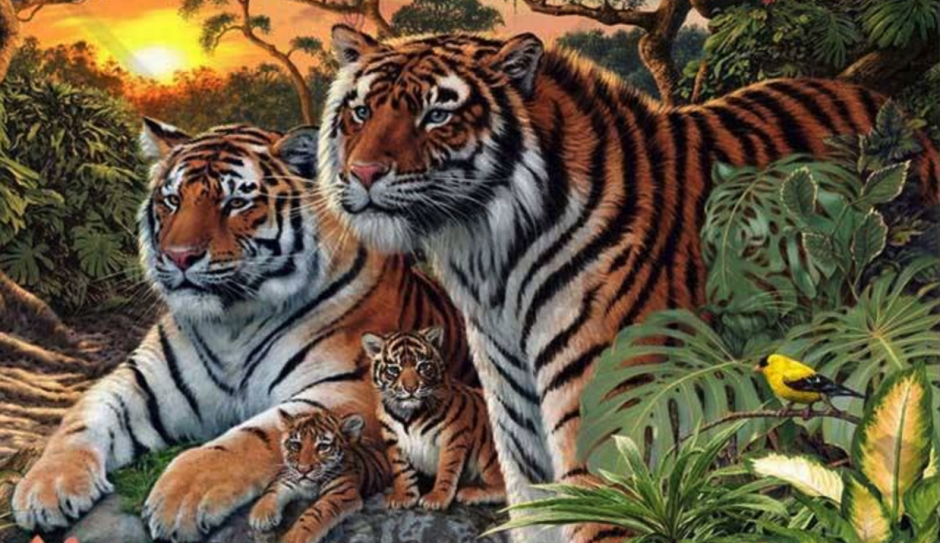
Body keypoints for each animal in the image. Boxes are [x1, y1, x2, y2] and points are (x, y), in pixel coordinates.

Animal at [248, 407, 390, 543]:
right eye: (295, 445)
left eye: (323, 447)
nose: (303, 470)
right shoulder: (289, 477)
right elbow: (272, 491)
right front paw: (261, 515)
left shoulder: (340, 493)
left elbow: (315, 513)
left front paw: (295, 537)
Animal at [361, 327, 505, 511]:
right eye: (394, 369)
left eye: (422, 366)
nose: (411, 388)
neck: (408, 415)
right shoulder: (393, 439)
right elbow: (401, 470)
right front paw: (404, 496)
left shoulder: (453, 437)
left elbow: (447, 469)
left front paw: (437, 498)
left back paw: (470, 493)